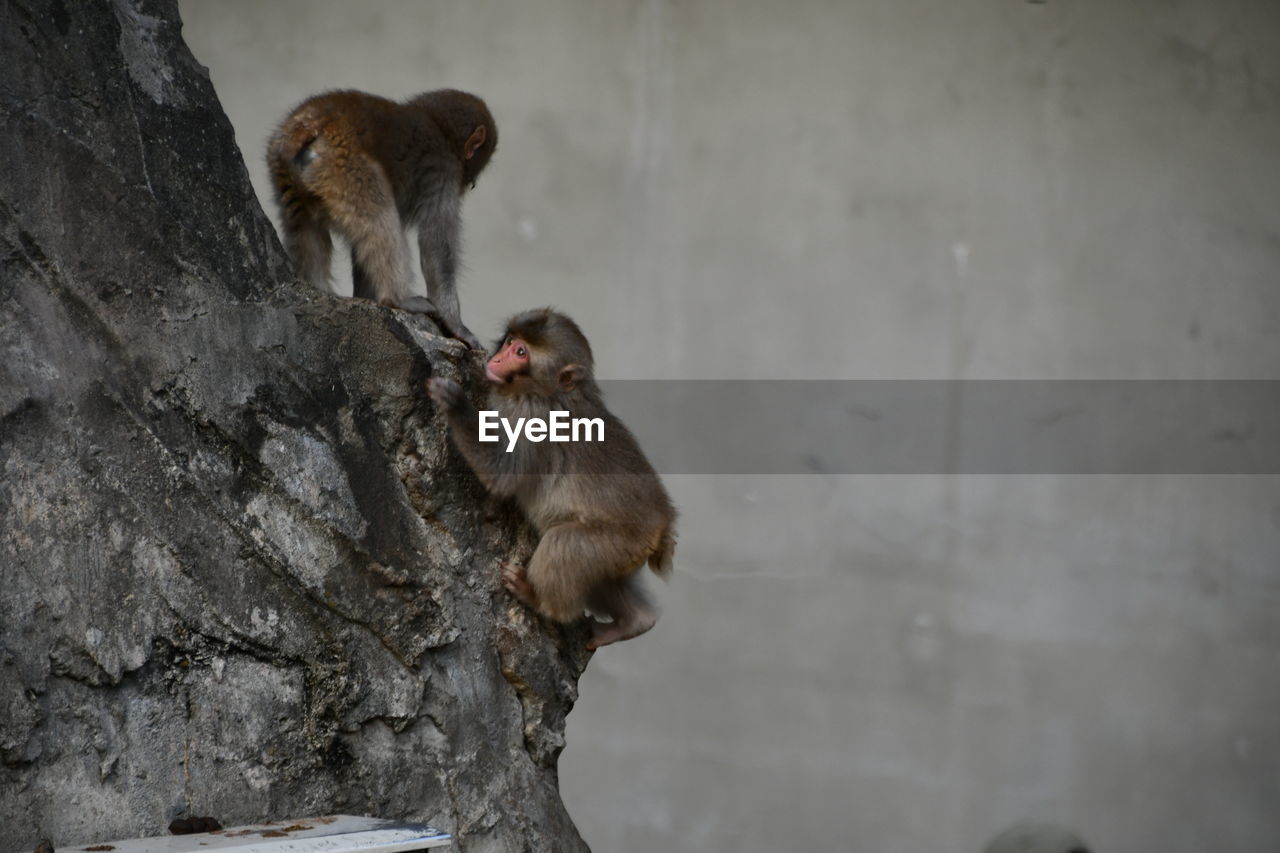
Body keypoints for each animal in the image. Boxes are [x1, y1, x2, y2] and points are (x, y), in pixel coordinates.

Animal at [264, 87, 494, 348]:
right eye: (471, 180)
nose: (470, 185)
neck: (439, 125)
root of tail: (309, 124)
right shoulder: (445, 171)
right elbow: (436, 248)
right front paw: (456, 325)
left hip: (287, 175)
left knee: (306, 226)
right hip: (345, 166)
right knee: (380, 219)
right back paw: (397, 299)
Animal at [424, 308, 675, 648]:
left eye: (521, 353)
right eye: (511, 342)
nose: (498, 359)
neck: (547, 391)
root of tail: (662, 526)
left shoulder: (532, 415)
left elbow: (503, 473)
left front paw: (456, 405)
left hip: (614, 540)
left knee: (563, 545)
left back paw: (538, 600)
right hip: (625, 553)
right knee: (606, 579)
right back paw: (634, 622)